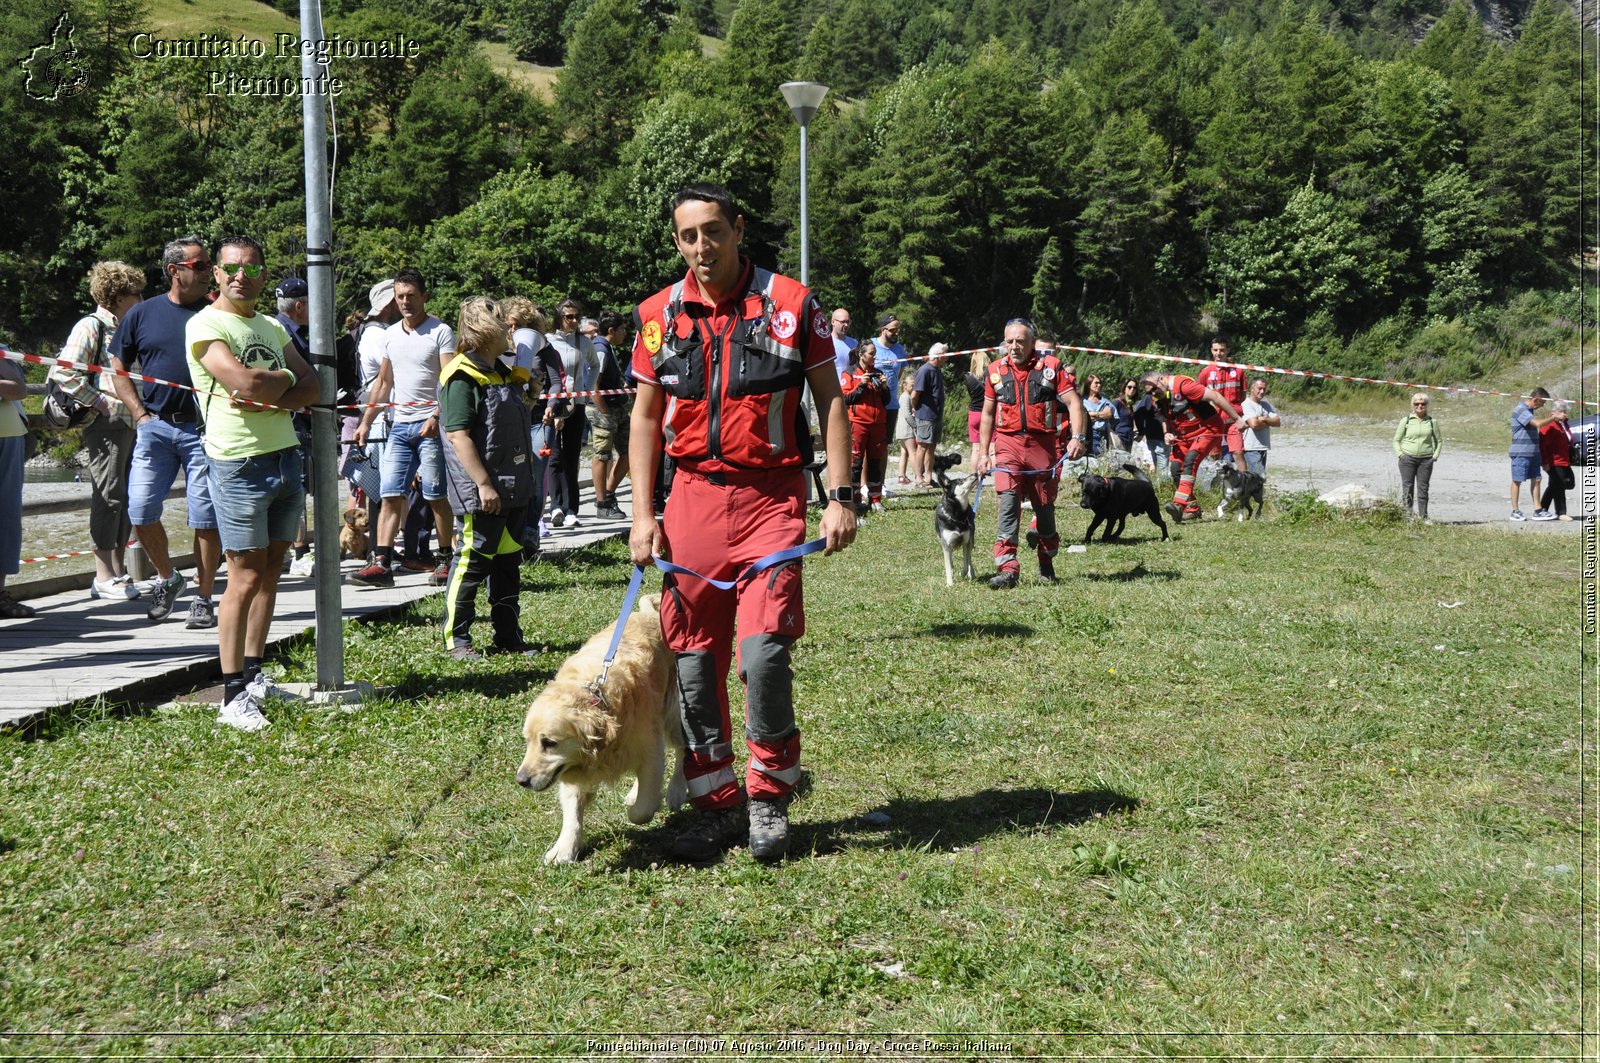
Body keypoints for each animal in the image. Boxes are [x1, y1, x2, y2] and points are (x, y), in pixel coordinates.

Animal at [515, 592, 684, 870]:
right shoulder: (573, 771)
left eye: (549, 742)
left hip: (674, 713)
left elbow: (642, 810)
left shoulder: (649, 750)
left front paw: (641, 809)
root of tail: (648, 614)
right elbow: (572, 813)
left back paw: (676, 791)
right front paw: (564, 849)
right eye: (528, 742)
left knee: (683, 751)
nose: (521, 780)